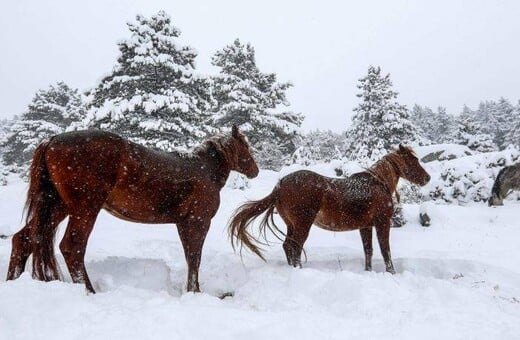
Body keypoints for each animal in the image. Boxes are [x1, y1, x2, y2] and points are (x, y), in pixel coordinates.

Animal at [6, 125, 258, 292]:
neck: (202, 169)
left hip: (56, 207)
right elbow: (195, 259)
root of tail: (51, 140)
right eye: (245, 146)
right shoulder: (198, 222)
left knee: (24, 239)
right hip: (84, 208)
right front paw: (194, 292)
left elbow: (190, 258)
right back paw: (89, 291)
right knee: (72, 247)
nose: (255, 170)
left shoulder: (184, 223)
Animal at [230, 146, 428, 274]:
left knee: (288, 246)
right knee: (296, 247)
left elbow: (369, 251)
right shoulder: (382, 223)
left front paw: (368, 271)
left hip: (292, 225)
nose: (427, 178)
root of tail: (280, 185)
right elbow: (385, 251)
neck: (378, 183)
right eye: (413, 160)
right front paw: (391, 273)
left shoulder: (365, 227)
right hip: (303, 224)